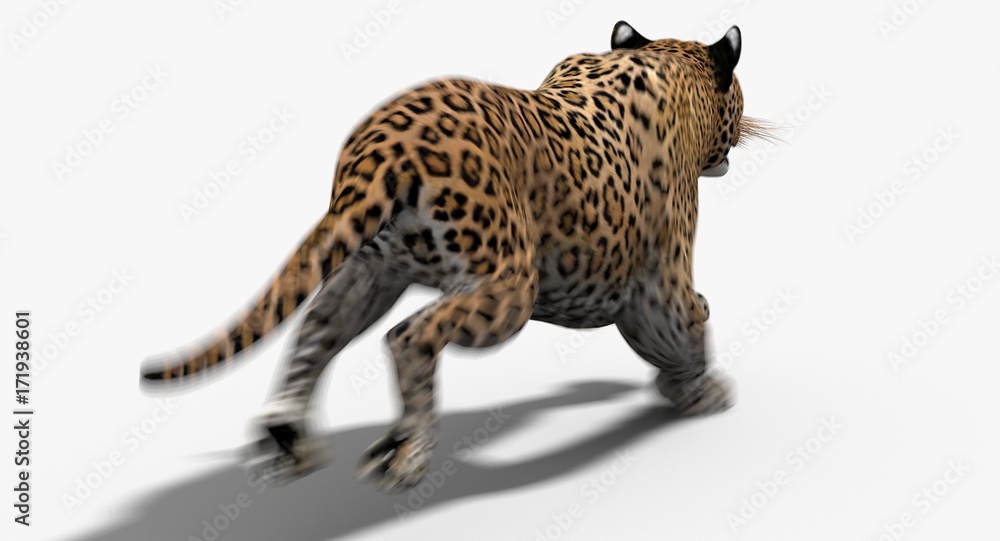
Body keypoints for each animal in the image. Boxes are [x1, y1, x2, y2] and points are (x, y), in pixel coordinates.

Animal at [141, 21, 767, 492]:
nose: (743, 127)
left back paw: (286, 437)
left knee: (317, 328)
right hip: (508, 283)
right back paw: (405, 450)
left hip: (374, 268)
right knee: (406, 336)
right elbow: (686, 321)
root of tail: (381, 145)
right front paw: (702, 391)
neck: (665, 62)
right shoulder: (657, 280)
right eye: (738, 96)